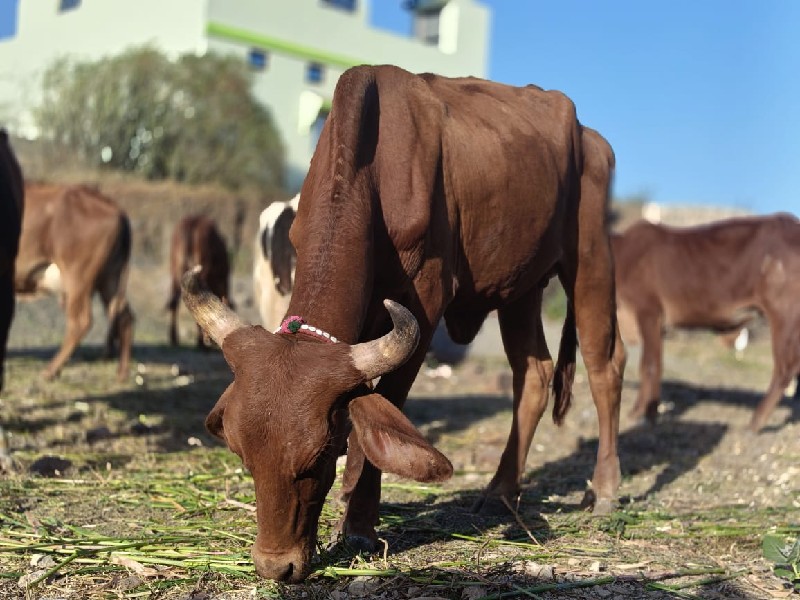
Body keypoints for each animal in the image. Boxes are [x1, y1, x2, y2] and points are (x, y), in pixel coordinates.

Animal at [14, 184, 134, 380]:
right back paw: (122, 373)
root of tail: (116, 209)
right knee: (124, 316)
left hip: (78, 280)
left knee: (81, 322)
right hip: (109, 280)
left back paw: (51, 370)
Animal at [612, 216, 800, 432]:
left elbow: (649, 365)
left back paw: (755, 422)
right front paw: (646, 411)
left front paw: (643, 413)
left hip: (783, 313)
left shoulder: (648, 311)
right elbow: (653, 365)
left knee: (785, 367)